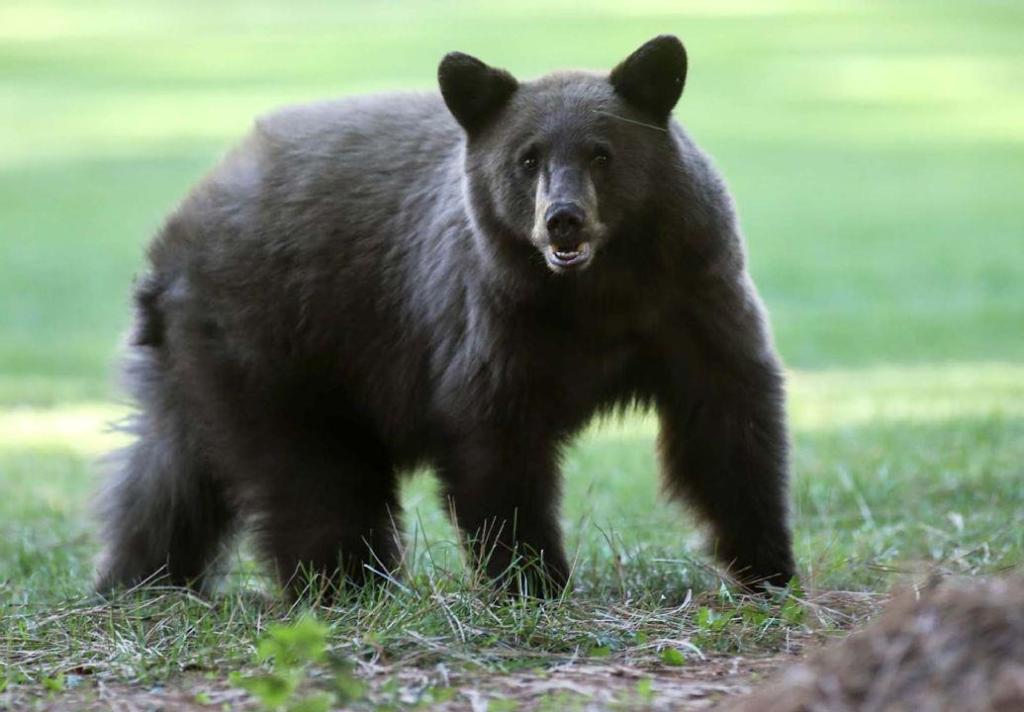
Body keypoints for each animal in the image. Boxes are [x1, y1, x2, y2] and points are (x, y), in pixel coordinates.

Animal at [96, 35, 796, 599]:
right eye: (527, 158)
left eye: (603, 153)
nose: (562, 219)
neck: (599, 292)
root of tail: (172, 242)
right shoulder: (490, 318)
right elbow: (493, 439)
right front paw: (533, 582)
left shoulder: (692, 298)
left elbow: (727, 420)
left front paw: (769, 567)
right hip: (275, 339)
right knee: (309, 476)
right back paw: (348, 585)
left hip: (200, 357)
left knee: (169, 472)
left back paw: (138, 580)